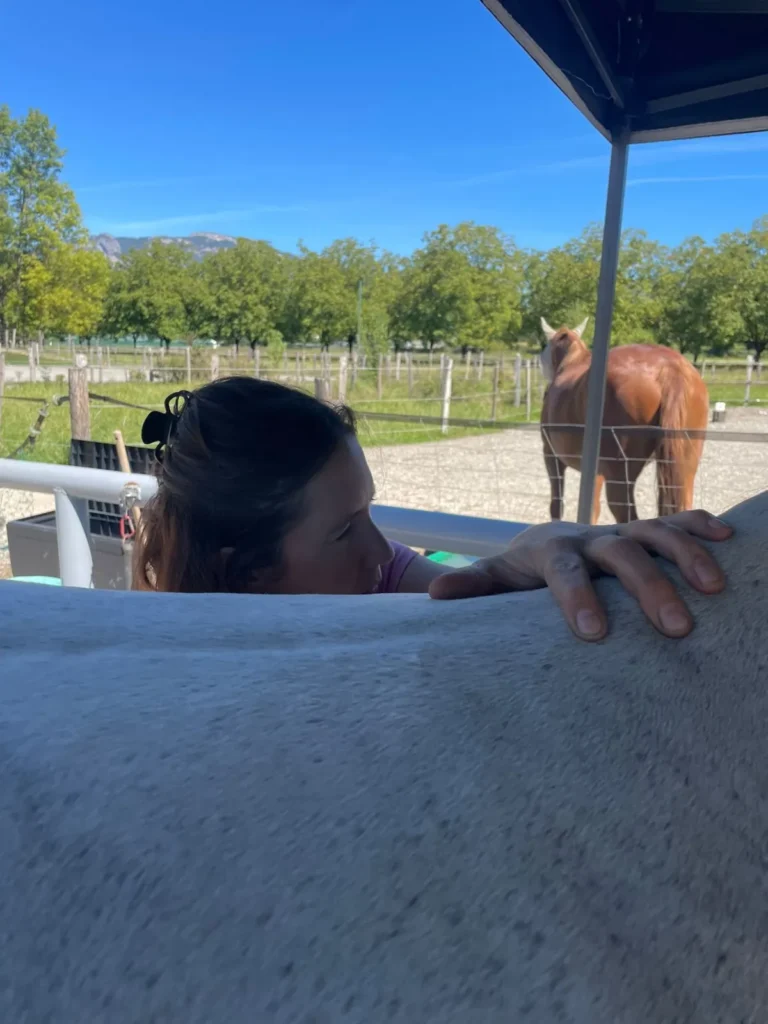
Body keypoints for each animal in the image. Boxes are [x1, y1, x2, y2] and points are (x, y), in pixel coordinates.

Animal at [539, 317, 709, 524]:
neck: (571, 362)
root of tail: (670, 369)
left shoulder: (551, 455)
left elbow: (560, 506)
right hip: (684, 468)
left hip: (619, 476)